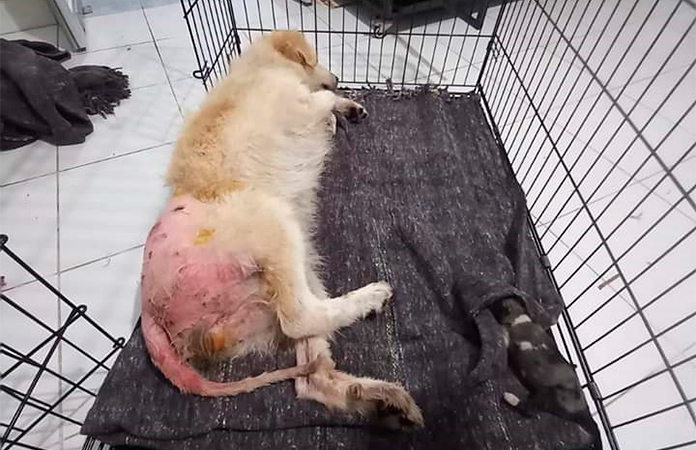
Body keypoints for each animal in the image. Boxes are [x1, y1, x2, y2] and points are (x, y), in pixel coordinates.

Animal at [140, 30, 423, 427]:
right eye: (314, 57)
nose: (337, 77)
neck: (259, 66)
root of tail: (149, 310)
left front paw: (345, 109)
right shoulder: (300, 99)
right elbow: (322, 99)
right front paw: (337, 108)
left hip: (292, 274)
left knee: (311, 376)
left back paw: (378, 396)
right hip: (276, 226)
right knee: (299, 320)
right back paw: (372, 296)